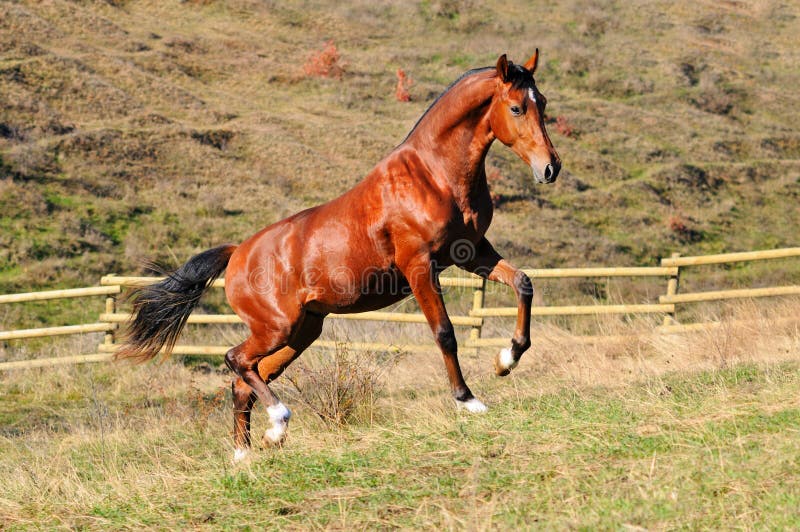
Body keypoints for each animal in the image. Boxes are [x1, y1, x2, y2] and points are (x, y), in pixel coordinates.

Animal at [117, 51, 564, 462]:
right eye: (516, 107)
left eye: (542, 102)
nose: (550, 169)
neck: (435, 176)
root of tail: (237, 253)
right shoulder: (420, 266)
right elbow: (445, 333)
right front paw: (468, 400)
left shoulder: (472, 253)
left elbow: (523, 283)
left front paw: (506, 360)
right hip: (277, 328)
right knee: (236, 360)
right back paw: (278, 420)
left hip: (302, 330)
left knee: (247, 379)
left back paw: (252, 449)